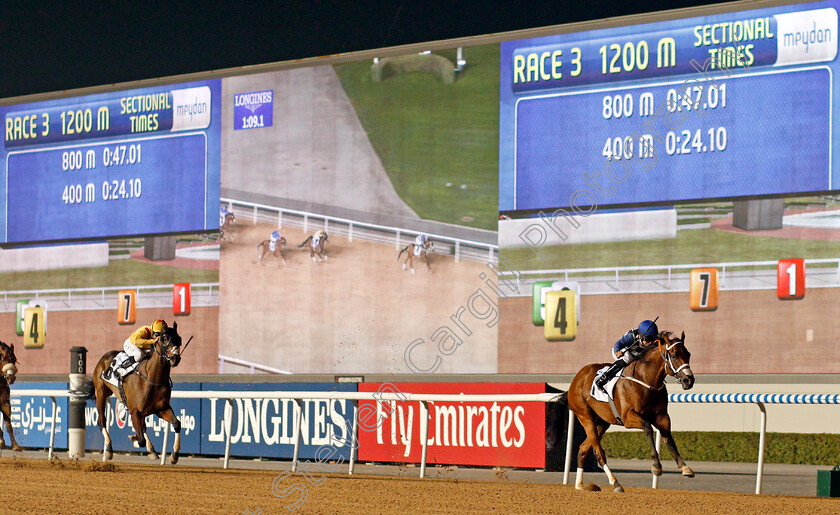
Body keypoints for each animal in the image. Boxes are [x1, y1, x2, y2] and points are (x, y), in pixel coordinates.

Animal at [74, 322, 187, 464]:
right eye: (165, 338)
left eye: (179, 338)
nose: (175, 358)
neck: (152, 379)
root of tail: (105, 357)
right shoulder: (135, 411)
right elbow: (141, 439)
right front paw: (134, 439)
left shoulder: (161, 409)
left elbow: (177, 423)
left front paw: (174, 455)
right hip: (101, 393)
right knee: (102, 421)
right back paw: (109, 450)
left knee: (144, 427)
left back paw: (151, 450)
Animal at [564, 332, 696, 494]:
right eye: (673, 355)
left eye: (688, 354)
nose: (688, 380)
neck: (646, 380)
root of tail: (577, 378)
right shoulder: (628, 417)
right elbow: (647, 427)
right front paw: (656, 466)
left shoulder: (662, 416)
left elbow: (669, 438)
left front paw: (685, 467)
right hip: (585, 417)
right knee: (599, 453)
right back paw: (615, 483)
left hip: (602, 423)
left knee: (583, 449)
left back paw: (580, 485)